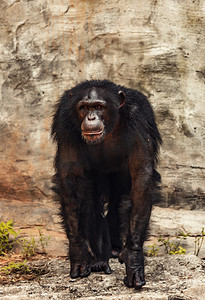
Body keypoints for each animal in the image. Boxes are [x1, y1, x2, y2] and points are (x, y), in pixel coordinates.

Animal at [51, 79, 162, 288]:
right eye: (84, 107)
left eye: (99, 107)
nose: (91, 117)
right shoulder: (64, 122)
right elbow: (70, 177)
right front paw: (79, 253)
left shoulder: (140, 118)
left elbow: (141, 175)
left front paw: (133, 258)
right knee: (90, 202)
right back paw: (99, 259)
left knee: (122, 201)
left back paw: (118, 250)